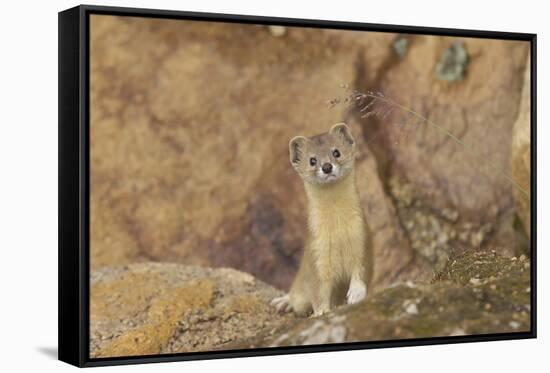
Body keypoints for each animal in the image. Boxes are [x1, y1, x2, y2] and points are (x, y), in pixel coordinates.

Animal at [272, 123, 376, 316]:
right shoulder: (317, 253)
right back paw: (284, 302)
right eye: (312, 160)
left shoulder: (362, 237)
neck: (338, 231)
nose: (327, 166)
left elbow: (361, 270)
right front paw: (321, 312)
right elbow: (319, 291)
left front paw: (356, 293)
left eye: (336, 152)